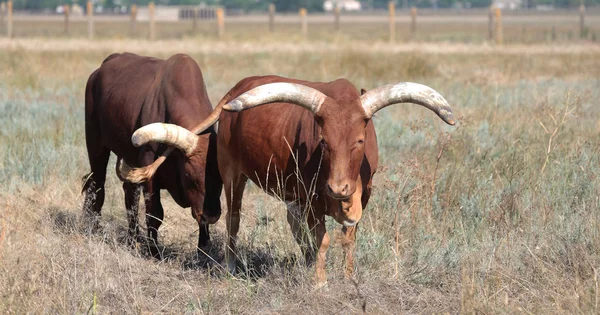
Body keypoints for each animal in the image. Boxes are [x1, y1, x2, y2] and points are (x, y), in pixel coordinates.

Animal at [84, 53, 223, 258]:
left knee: (130, 194)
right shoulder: (151, 175)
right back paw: (93, 228)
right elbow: (155, 213)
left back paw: (133, 239)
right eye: (189, 173)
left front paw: (204, 250)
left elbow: (200, 221)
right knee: (97, 186)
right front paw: (154, 251)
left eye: (222, 176)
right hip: (96, 144)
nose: (212, 214)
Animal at [126, 74, 454, 286]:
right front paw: (320, 283)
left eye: (360, 141)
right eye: (324, 141)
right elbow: (322, 240)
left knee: (293, 225)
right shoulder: (313, 201)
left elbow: (348, 239)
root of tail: (236, 89)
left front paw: (348, 278)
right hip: (233, 174)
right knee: (233, 220)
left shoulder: (363, 197)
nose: (338, 188)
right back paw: (231, 265)